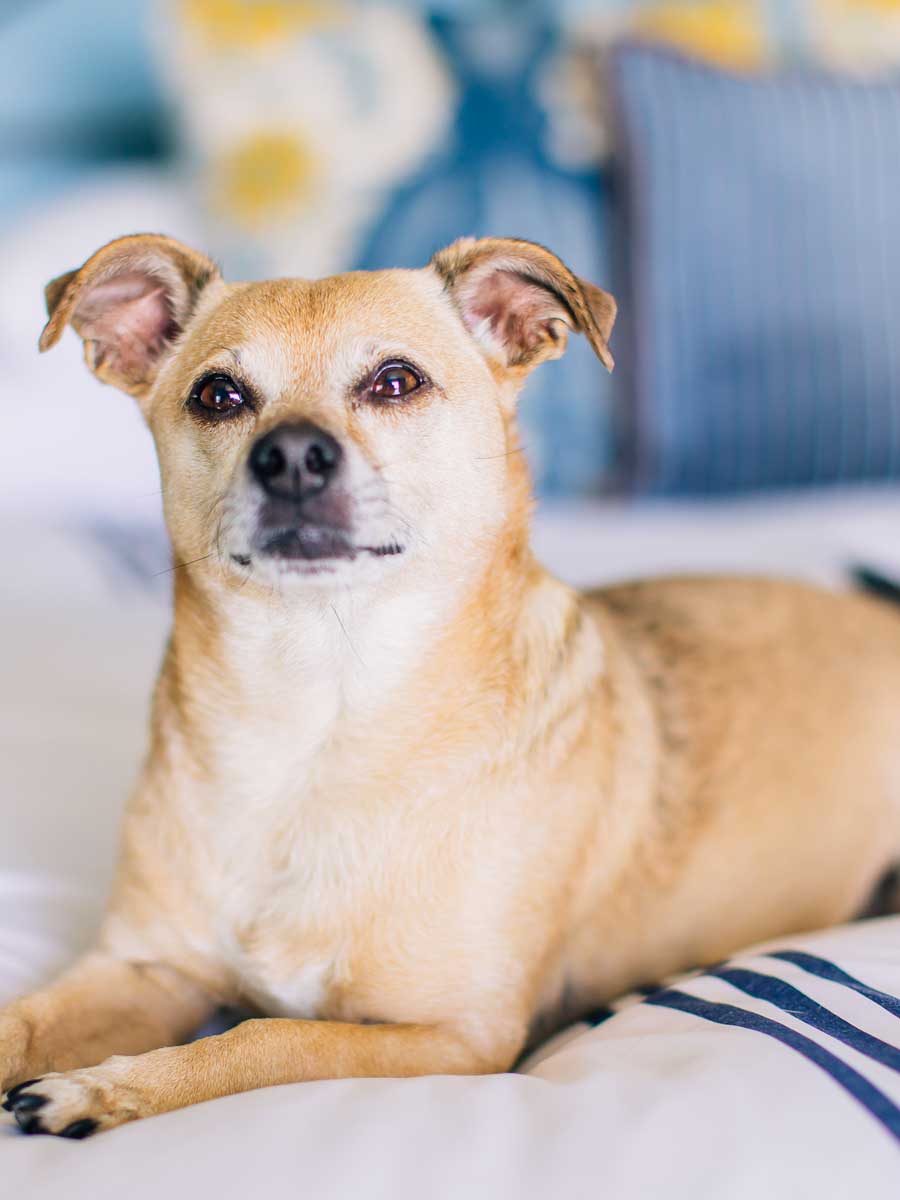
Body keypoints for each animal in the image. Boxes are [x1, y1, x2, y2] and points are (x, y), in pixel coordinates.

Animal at [1, 231, 900, 1132]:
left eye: (396, 382)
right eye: (218, 395)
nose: (289, 455)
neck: (318, 709)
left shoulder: (456, 1037)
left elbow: (263, 1037)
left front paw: (102, 1086)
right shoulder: (146, 969)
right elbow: (26, 1018)